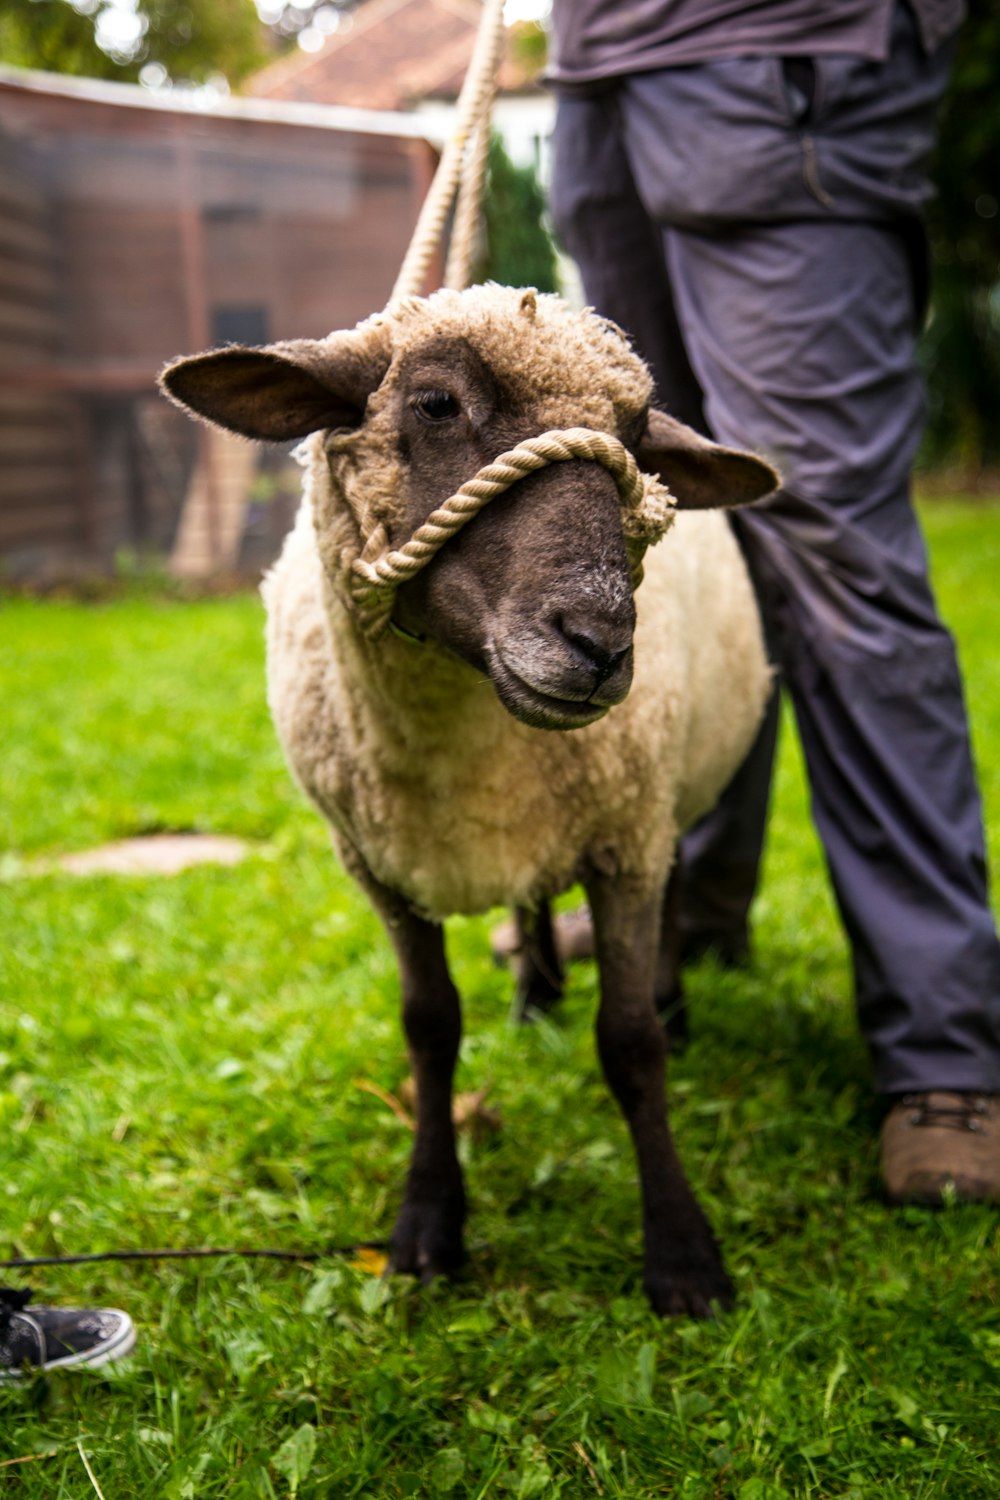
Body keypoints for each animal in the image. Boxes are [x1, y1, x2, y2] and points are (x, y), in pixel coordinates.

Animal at [160, 282, 779, 1314]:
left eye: (635, 440)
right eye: (436, 404)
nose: (600, 644)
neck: (459, 734)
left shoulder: (624, 839)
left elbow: (630, 1044)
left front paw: (684, 1258)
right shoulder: (381, 865)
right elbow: (430, 1027)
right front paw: (426, 1227)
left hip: (662, 801)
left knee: (667, 903)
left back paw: (668, 1002)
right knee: (529, 903)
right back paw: (534, 993)